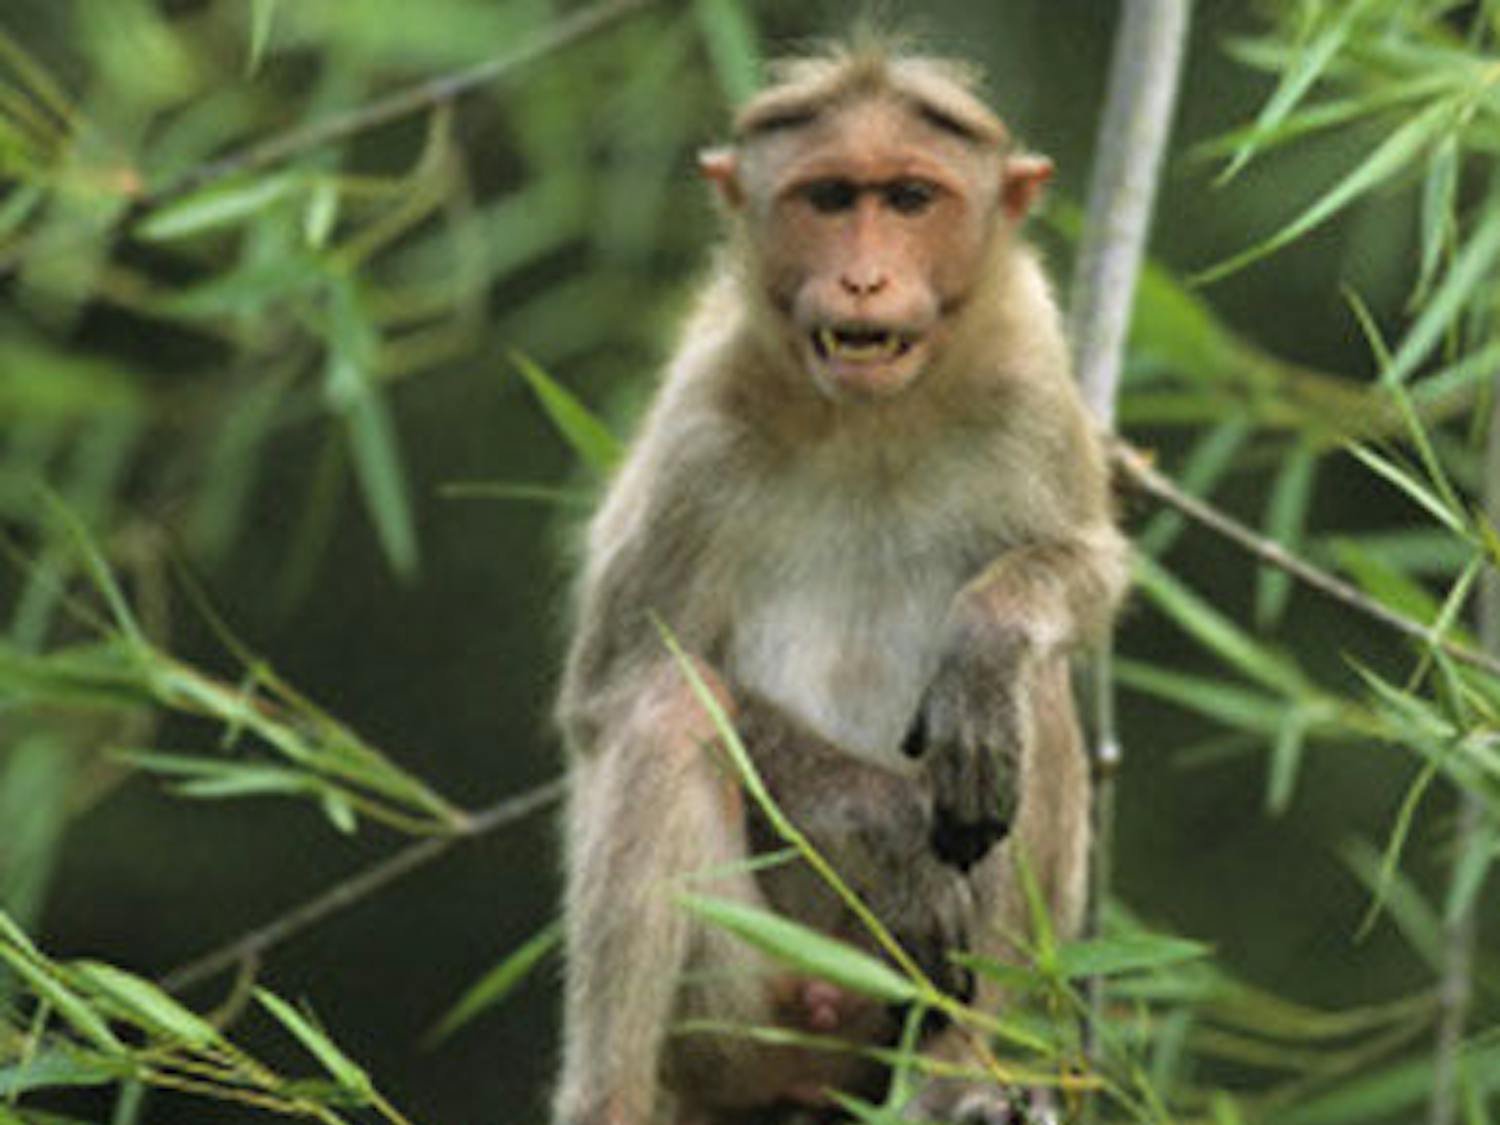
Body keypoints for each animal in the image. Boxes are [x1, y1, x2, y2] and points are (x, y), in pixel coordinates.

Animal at [551, 40, 1128, 1125]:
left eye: (908, 199)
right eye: (828, 199)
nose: (863, 278)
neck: (873, 420)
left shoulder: (1032, 383)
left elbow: (1087, 571)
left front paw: (990, 635)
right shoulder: (696, 423)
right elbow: (612, 687)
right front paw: (888, 830)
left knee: (1029, 693)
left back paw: (964, 1078)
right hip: (739, 1017)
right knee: (664, 713)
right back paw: (609, 1099)